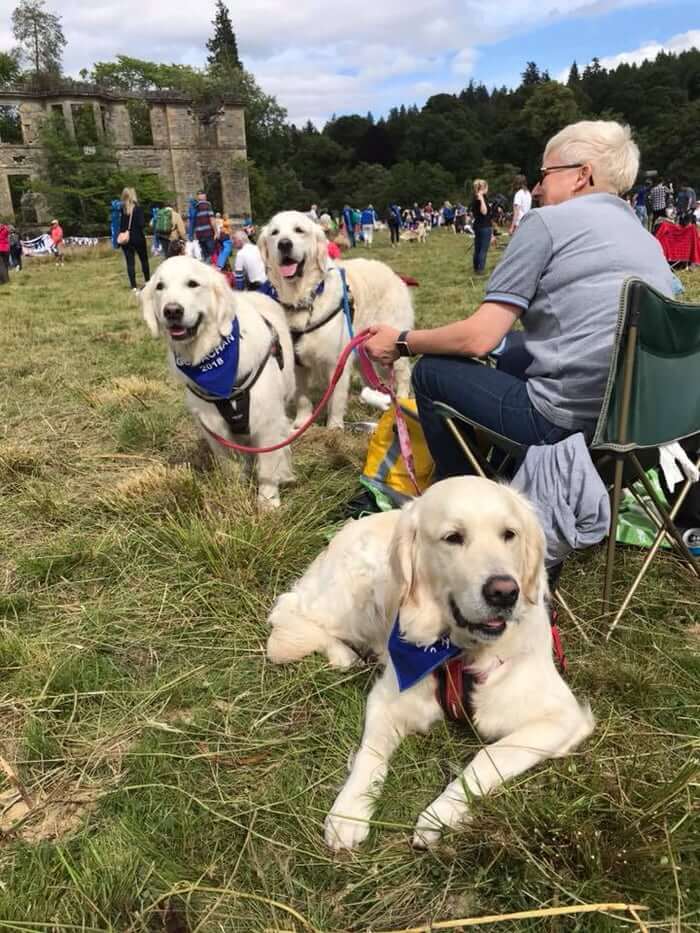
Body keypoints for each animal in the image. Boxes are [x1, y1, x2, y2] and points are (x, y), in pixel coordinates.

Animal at [142, 256, 296, 510]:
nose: (172, 311)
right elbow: (231, 466)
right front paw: (235, 494)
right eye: (160, 287)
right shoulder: (214, 427)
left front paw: (267, 503)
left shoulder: (267, 421)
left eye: (193, 284)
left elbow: (267, 466)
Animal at [258, 211, 412, 430]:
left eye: (299, 230)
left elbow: (336, 398)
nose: (284, 244)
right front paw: (301, 422)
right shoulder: (297, 365)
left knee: (404, 373)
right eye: (275, 233)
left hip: (388, 343)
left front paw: (334, 427)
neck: (304, 298)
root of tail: (392, 273)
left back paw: (402, 400)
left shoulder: (336, 360)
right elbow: (302, 397)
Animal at [266, 476, 592, 848]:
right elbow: (369, 754)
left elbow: (489, 756)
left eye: (509, 534)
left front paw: (440, 814)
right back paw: (343, 654)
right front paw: (348, 812)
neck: (459, 652)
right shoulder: (387, 698)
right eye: (453, 537)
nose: (504, 592)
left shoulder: (562, 716)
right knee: (286, 618)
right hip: (352, 596)